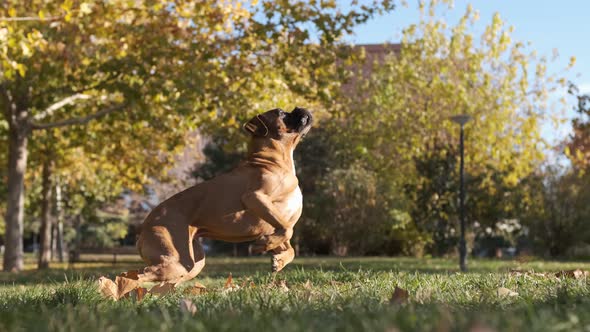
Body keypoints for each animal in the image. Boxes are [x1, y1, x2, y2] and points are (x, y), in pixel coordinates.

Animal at [136, 106, 314, 282]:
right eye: (281, 113)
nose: (299, 108)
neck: (272, 161)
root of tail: (145, 226)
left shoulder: (273, 223)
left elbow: (290, 247)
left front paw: (279, 259)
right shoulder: (255, 198)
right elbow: (287, 230)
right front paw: (264, 244)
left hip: (190, 264)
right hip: (175, 261)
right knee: (137, 275)